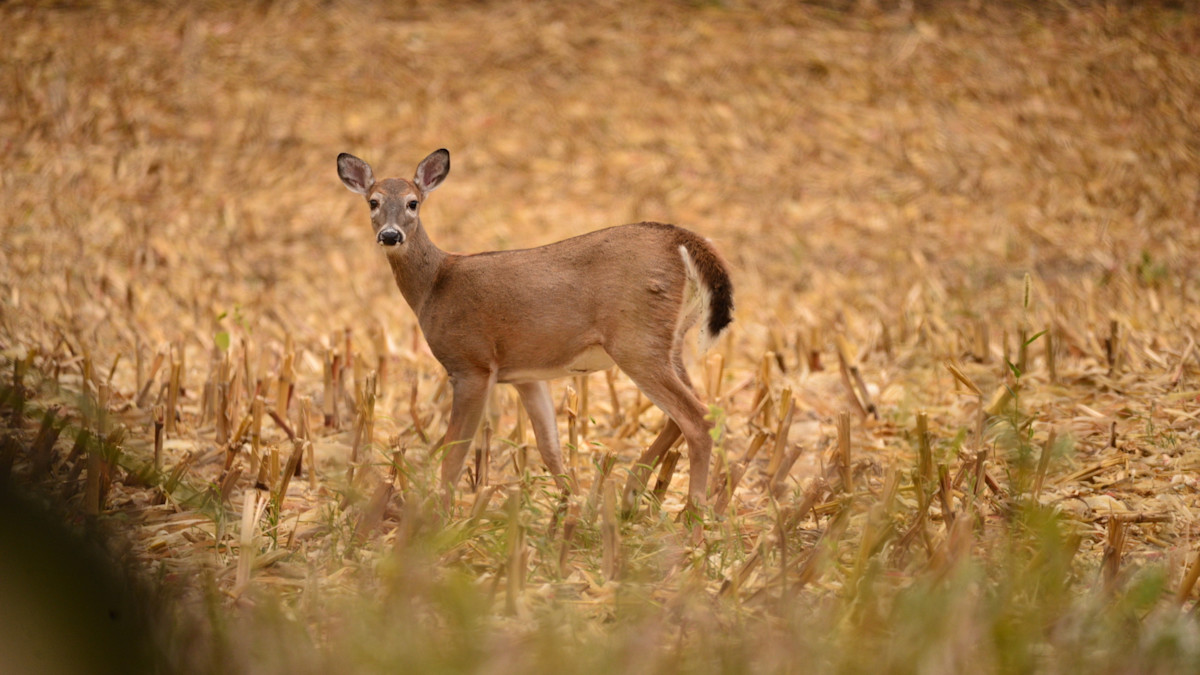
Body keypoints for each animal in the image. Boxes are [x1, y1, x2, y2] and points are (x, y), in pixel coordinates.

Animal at [336, 149, 733, 515]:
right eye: (373, 202)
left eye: (413, 202)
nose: (390, 235)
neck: (434, 285)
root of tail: (683, 241)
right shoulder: (526, 374)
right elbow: (549, 446)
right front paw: (574, 509)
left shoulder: (472, 363)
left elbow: (455, 451)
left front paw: (438, 518)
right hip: (670, 342)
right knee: (687, 412)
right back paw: (630, 495)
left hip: (636, 340)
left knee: (697, 417)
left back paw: (693, 516)